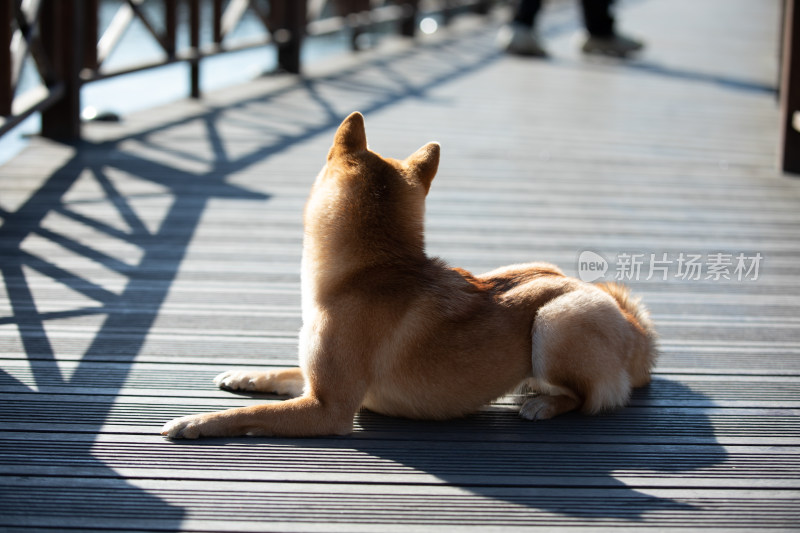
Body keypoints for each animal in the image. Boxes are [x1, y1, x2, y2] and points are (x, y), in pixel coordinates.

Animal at [162, 111, 656, 436]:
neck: (367, 273)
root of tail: (635, 330)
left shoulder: (327, 407)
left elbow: (248, 416)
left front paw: (197, 420)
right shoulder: (315, 382)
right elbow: (282, 372)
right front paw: (245, 376)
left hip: (556, 321)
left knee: (587, 398)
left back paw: (545, 405)